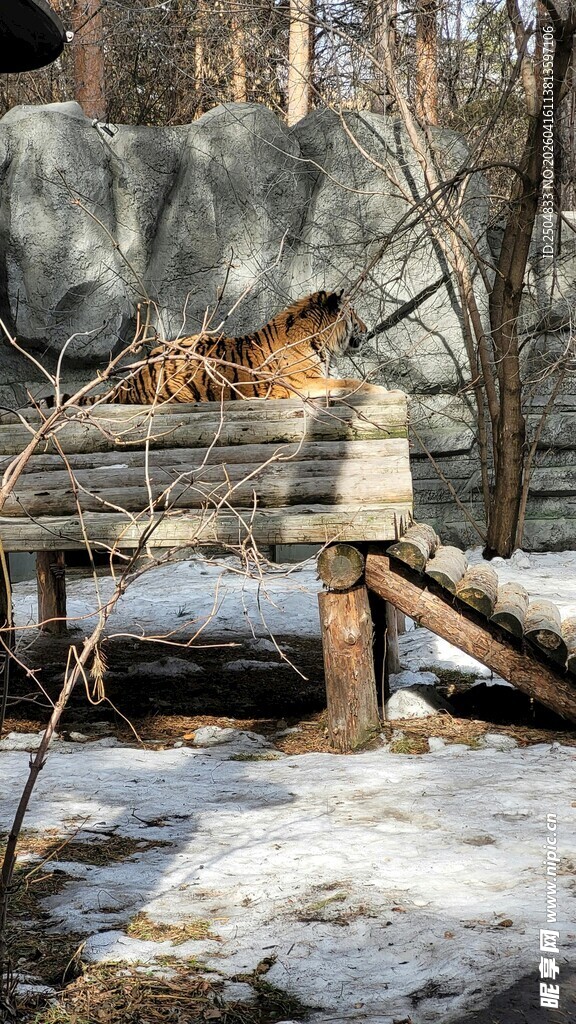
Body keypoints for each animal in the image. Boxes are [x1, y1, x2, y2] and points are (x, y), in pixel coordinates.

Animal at [53, 289, 382, 407]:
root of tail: (129, 383)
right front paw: (380, 389)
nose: (367, 329)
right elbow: (349, 382)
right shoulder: (305, 383)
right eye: (354, 315)